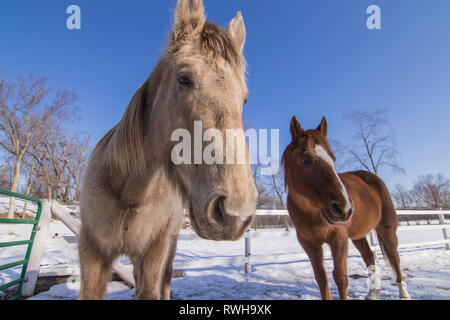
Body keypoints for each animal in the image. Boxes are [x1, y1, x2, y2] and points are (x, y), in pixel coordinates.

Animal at [78, 0, 256, 300]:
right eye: (184, 78)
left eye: (244, 97)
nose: (236, 213)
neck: (129, 192)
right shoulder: (91, 252)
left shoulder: (155, 253)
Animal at [284, 117, 414, 300]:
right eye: (305, 159)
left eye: (333, 158)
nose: (344, 208)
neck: (311, 213)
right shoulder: (309, 243)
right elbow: (321, 277)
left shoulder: (339, 240)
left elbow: (341, 278)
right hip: (358, 236)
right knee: (369, 257)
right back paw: (373, 293)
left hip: (386, 230)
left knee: (395, 258)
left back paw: (404, 293)